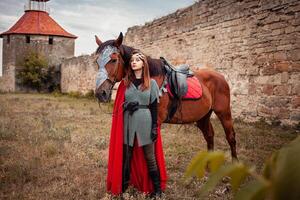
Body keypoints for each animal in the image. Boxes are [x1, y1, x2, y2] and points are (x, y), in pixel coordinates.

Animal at [94, 32, 237, 159]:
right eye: (97, 62)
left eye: (113, 60)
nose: (100, 93)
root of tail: (221, 77)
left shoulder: (155, 122)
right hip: (203, 116)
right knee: (209, 135)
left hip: (224, 112)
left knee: (230, 137)